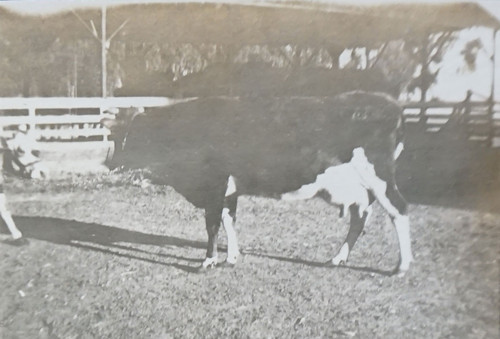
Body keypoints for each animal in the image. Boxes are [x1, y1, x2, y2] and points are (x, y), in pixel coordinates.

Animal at [101, 91, 414, 276]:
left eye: (131, 135)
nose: (110, 163)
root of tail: (392, 104)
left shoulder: (214, 183)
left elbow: (212, 225)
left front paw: (208, 261)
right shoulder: (229, 189)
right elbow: (229, 219)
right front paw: (232, 257)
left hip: (379, 174)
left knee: (399, 210)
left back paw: (402, 266)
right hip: (356, 187)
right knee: (360, 217)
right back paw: (338, 258)